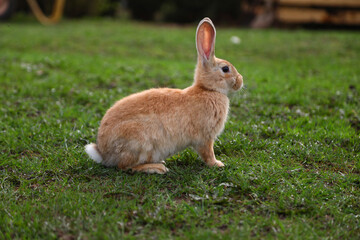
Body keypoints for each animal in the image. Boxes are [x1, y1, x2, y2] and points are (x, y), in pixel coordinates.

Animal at [84, 17, 243, 174]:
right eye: (225, 69)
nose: (240, 81)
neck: (208, 90)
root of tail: (104, 153)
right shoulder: (205, 138)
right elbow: (208, 153)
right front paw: (218, 164)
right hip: (138, 143)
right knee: (124, 166)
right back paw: (157, 168)